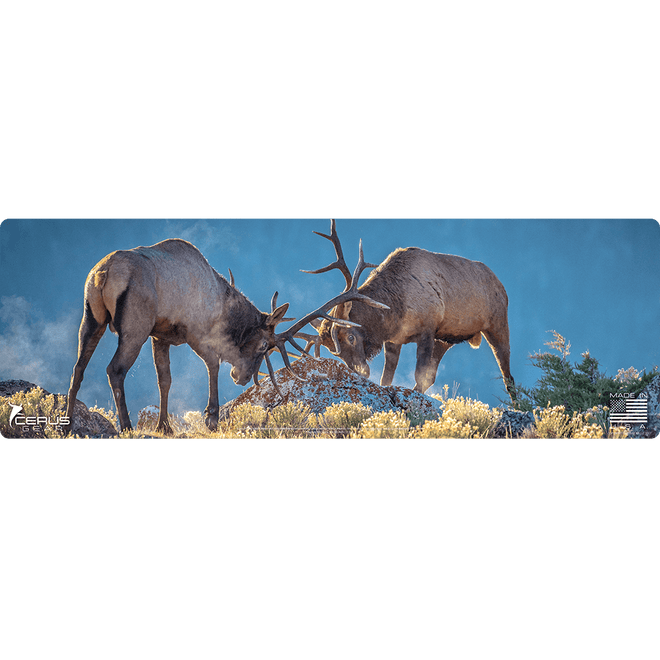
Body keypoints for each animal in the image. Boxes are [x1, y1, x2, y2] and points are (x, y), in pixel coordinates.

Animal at [65, 238, 387, 434]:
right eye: (264, 345)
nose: (241, 378)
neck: (223, 305)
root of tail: (102, 274)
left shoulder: (161, 336)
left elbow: (165, 380)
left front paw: (164, 426)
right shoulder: (195, 331)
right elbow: (212, 365)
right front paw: (212, 417)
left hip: (92, 318)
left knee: (78, 367)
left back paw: (68, 424)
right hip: (135, 325)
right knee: (114, 369)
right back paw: (127, 426)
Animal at [300, 219, 516, 400]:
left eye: (351, 336)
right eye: (333, 351)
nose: (361, 371)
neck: (394, 311)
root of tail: (502, 286)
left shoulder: (427, 329)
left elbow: (419, 374)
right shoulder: (394, 341)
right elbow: (387, 379)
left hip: (497, 324)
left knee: (508, 377)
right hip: (445, 339)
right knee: (433, 376)